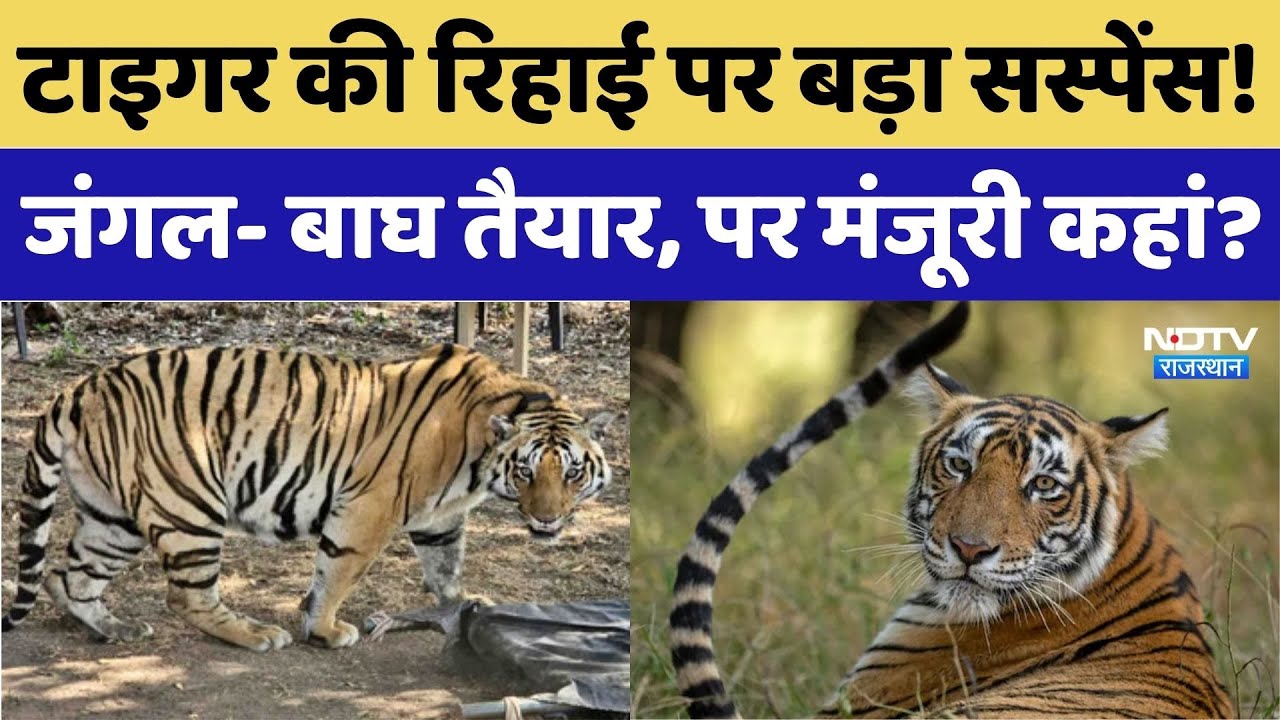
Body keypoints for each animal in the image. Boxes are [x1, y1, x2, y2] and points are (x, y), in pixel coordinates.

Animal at [2, 343, 613, 652]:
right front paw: (322, 630)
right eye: (528, 471)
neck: (480, 456)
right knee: (187, 597)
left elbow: (446, 570)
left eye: (573, 472)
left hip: (113, 516)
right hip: (189, 503)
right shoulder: (369, 508)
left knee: (68, 576)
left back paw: (112, 629)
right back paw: (256, 635)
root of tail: (79, 388)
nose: (548, 520)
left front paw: (460, 609)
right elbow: (338, 573)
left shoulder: (440, 519)